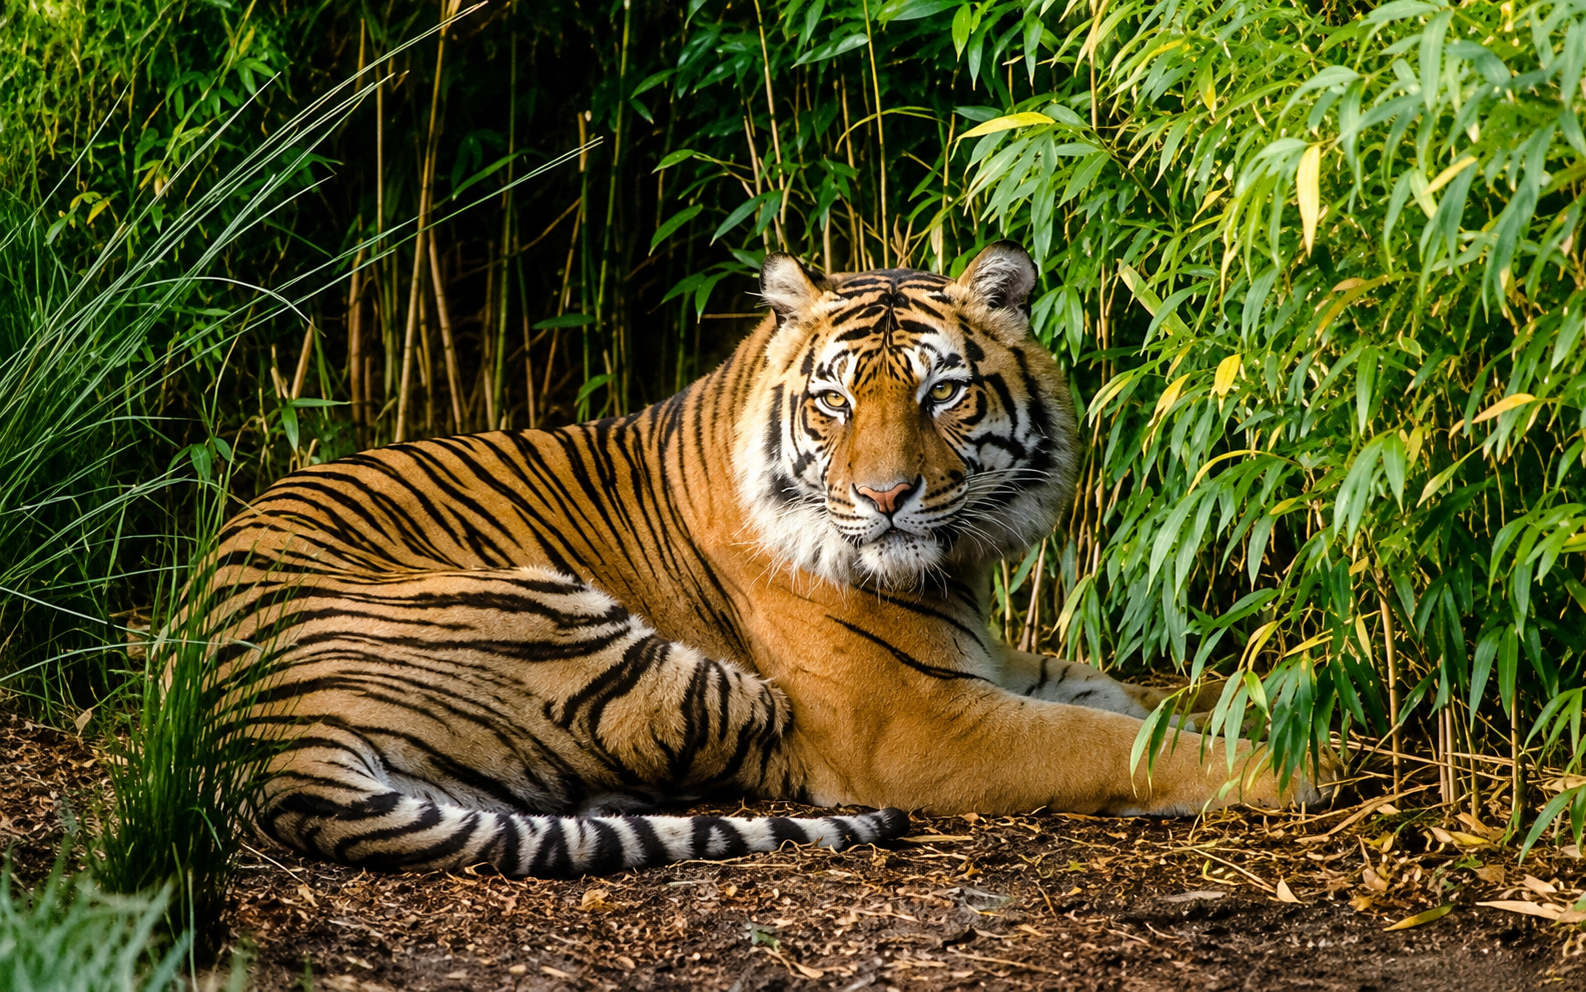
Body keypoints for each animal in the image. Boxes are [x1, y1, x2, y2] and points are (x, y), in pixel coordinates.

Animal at [198, 241, 1335, 880]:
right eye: (833, 401)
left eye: (942, 393)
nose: (886, 497)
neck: (951, 565)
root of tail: (256, 734)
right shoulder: (915, 718)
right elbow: (1112, 742)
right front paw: (1304, 763)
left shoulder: (991, 659)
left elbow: (1133, 695)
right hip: (599, 635)